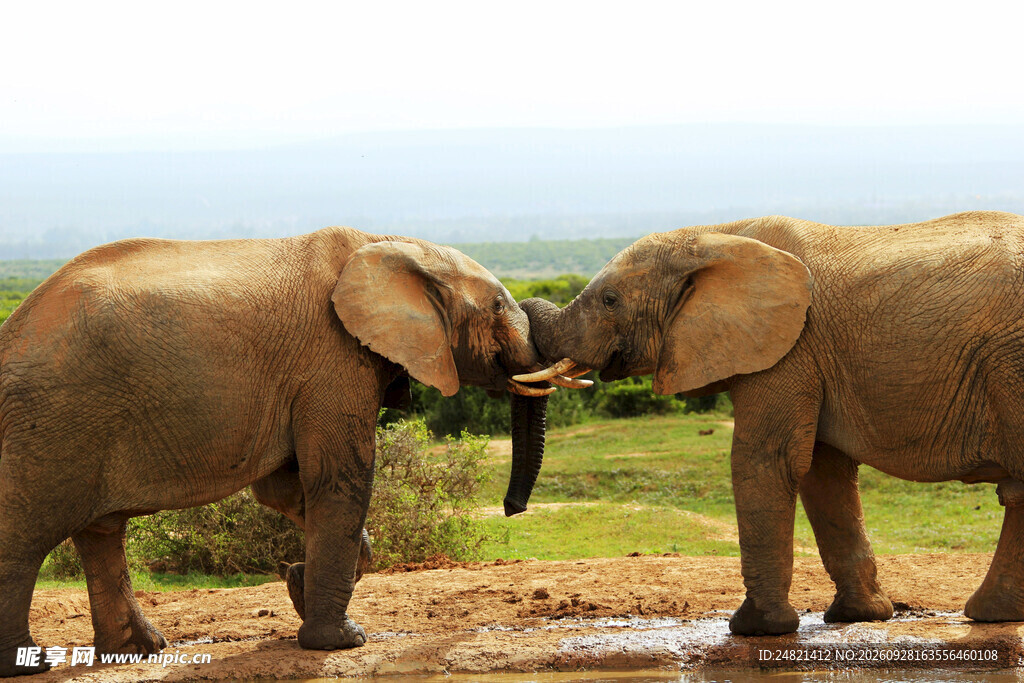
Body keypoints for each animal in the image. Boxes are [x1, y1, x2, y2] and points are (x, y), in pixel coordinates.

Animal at [0, 227, 577, 676]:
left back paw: (139, 651)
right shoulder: (333, 360)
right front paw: (342, 641)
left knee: (101, 532)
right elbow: (339, 480)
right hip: (50, 421)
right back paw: (28, 663)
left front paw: (300, 583)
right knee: (25, 537)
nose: (512, 508)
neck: (394, 243)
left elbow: (283, 489)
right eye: (498, 307)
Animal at [519, 210, 1024, 635]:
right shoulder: (808, 354)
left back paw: (989, 614)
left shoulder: (788, 346)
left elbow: (766, 461)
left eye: (610, 300)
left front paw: (754, 629)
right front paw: (857, 617)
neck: (717, 235)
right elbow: (824, 472)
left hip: (1009, 360)